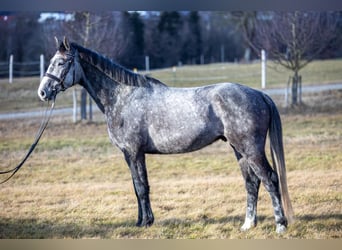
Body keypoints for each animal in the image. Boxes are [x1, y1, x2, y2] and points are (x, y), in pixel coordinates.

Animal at [38, 38, 294, 233]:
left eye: (61, 62)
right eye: (50, 62)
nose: (43, 92)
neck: (122, 96)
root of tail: (259, 94)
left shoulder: (135, 152)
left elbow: (142, 187)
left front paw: (146, 222)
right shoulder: (129, 155)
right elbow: (136, 187)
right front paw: (140, 221)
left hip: (251, 149)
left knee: (270, 179)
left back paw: (280, 225)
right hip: (238, 150)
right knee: (252, 182)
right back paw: (248, 225)